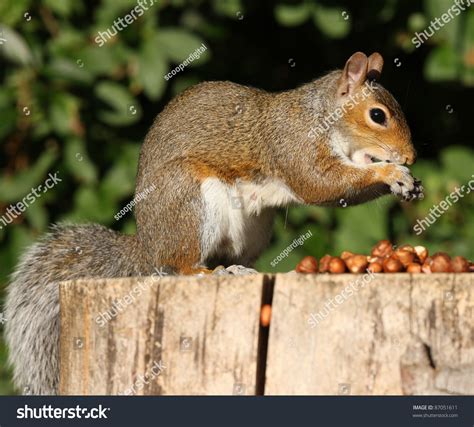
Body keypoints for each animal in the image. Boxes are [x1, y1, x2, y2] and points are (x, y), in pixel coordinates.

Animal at [3, 51, 422, 396]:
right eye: (378, 115)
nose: (410, 156)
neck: (321, 116)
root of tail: (148, 245)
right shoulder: (295, 146)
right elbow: (320, 184)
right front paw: (390, 174)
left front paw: (405, 180)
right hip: (189, 200)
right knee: (178, 266)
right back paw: (211, 272)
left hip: (253, 228)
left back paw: (240, 269)